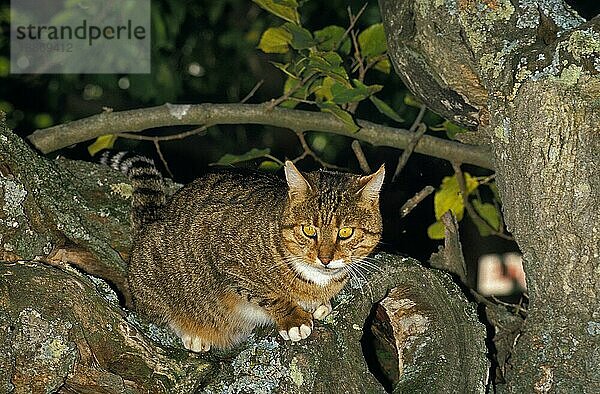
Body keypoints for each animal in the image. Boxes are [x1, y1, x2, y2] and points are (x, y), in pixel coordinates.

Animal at [106, 153, 384, 350]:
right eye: (308, 230)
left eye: (345, 232)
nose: (325, 258)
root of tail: (150, 221)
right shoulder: (226, 260)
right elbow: (267, 295)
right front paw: (294, 318)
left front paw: (319, 304)